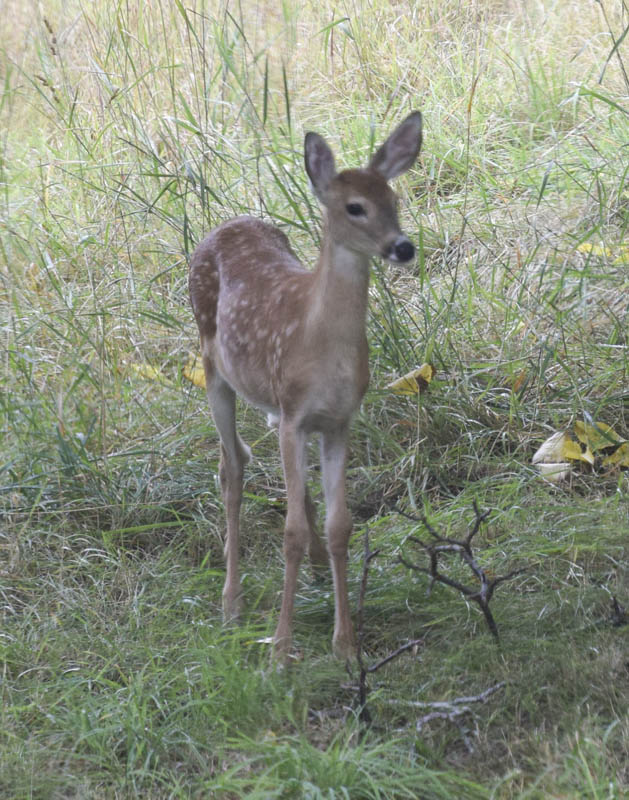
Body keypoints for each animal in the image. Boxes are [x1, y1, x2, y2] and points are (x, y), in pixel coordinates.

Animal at [188, 111, 422, 660]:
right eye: (354, 207)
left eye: (394, 200)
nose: (402, 247)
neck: (319, 342)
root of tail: (228, 223)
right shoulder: (295, 415)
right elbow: (289, 531)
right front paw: (280, 648)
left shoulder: (335, 420)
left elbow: (342, 526)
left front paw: (346, 644)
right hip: (213, 370)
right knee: (231, 467)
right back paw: (231, 601)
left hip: (274, 406)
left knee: (269, 473)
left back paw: (312, 569)